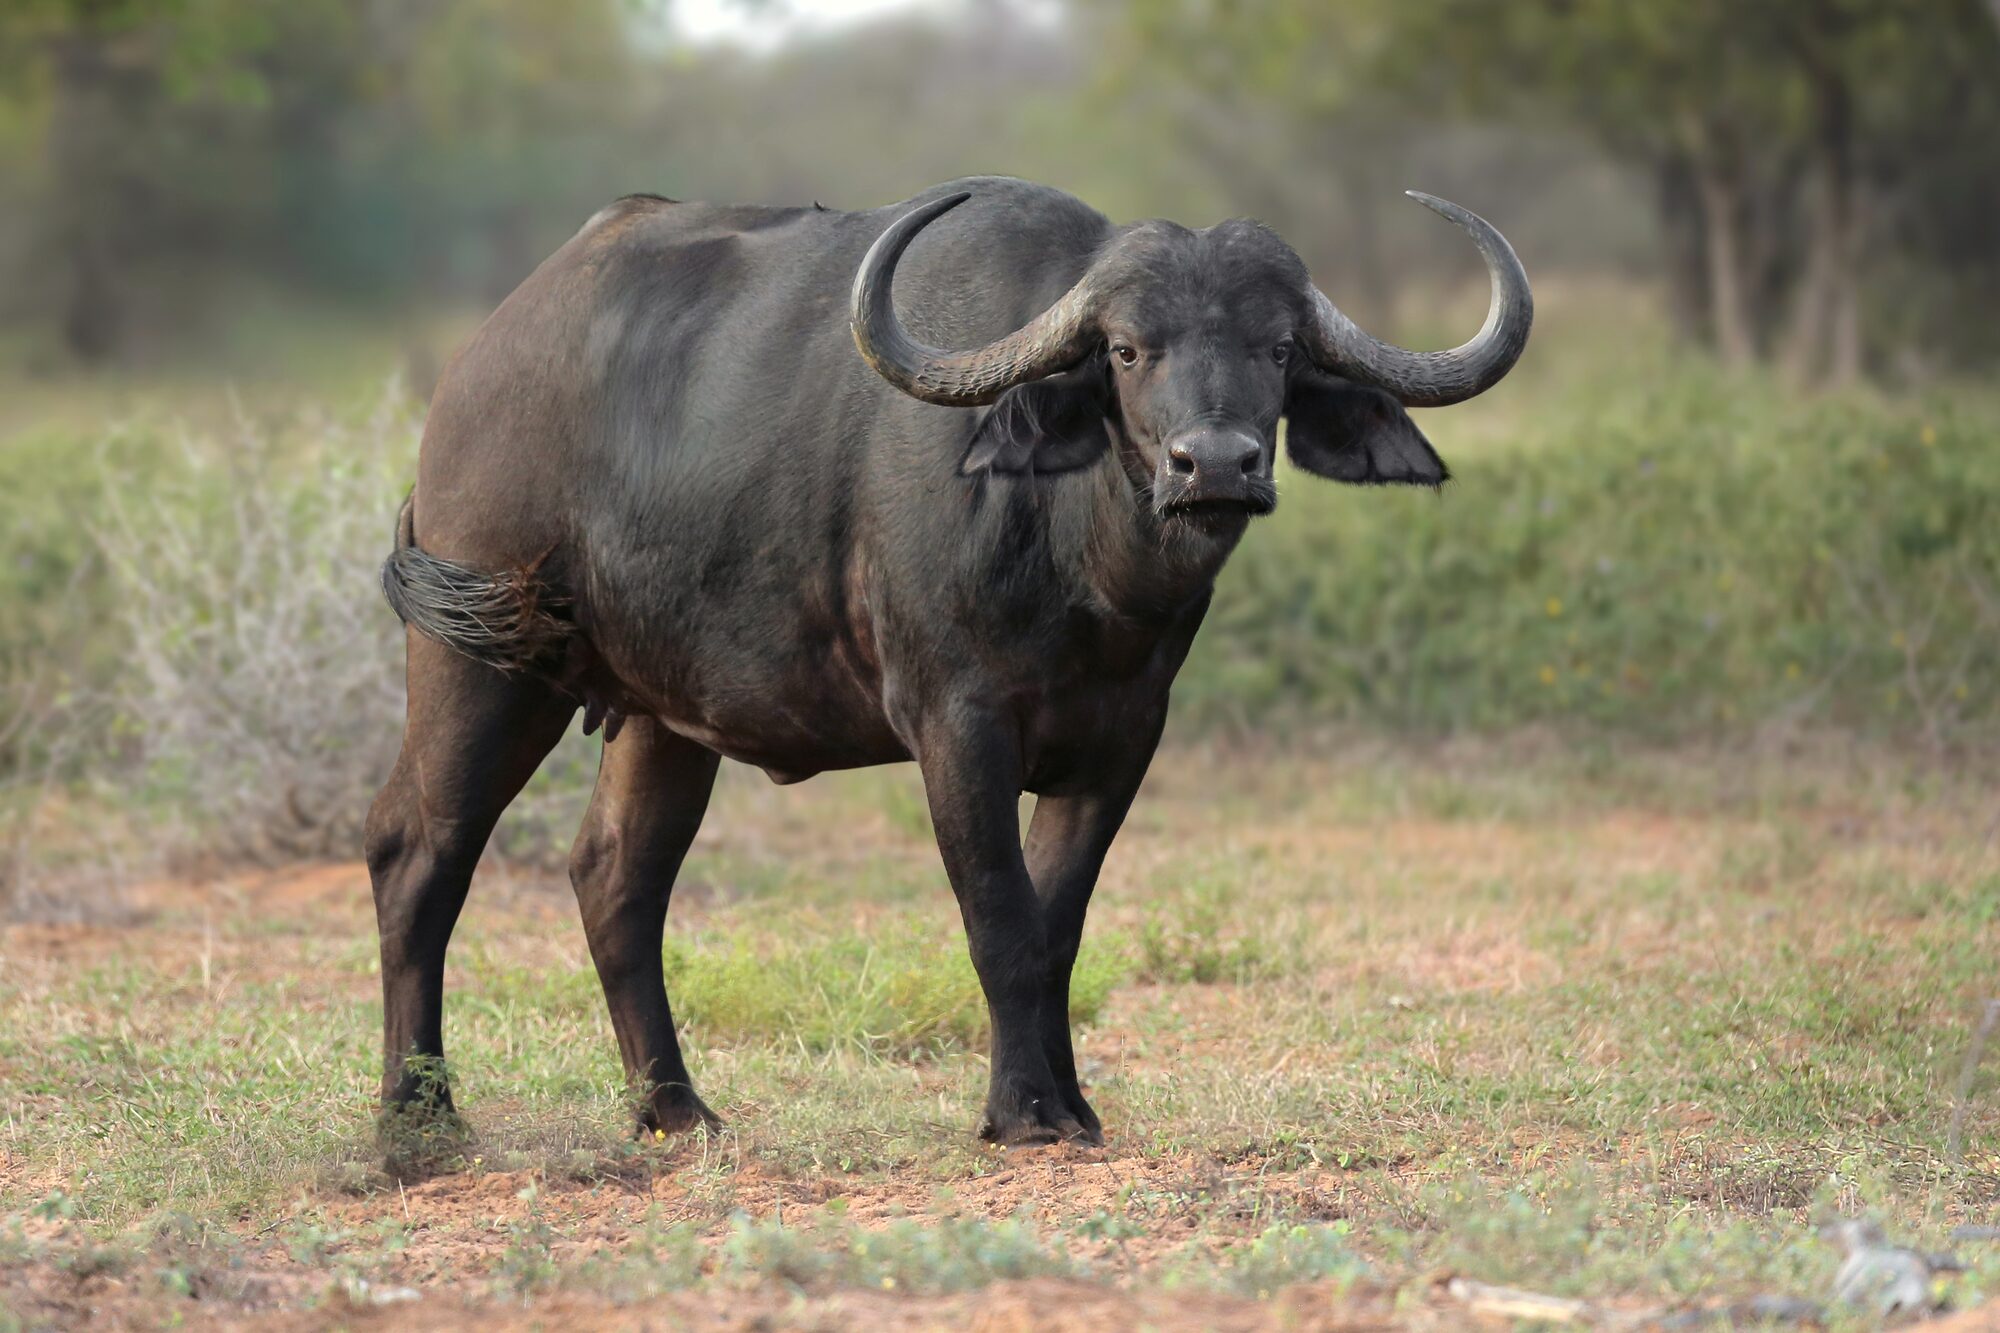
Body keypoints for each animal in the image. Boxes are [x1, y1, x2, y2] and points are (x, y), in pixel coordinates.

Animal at [368, 176, 1530, 1147]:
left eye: (1279, 348)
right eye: (1126, 349)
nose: (1215, 465)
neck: (1082, 567)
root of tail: (482, 360)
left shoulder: (1120, 744)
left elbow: (1058, 930)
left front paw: (1072, 1102)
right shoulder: (956, 727)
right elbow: (1001, 920)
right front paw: (1022, 1113)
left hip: (661, 715)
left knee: (615, 877)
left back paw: (676, 1110)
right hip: (482, 660)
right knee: (416, 851)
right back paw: (419, 1120)